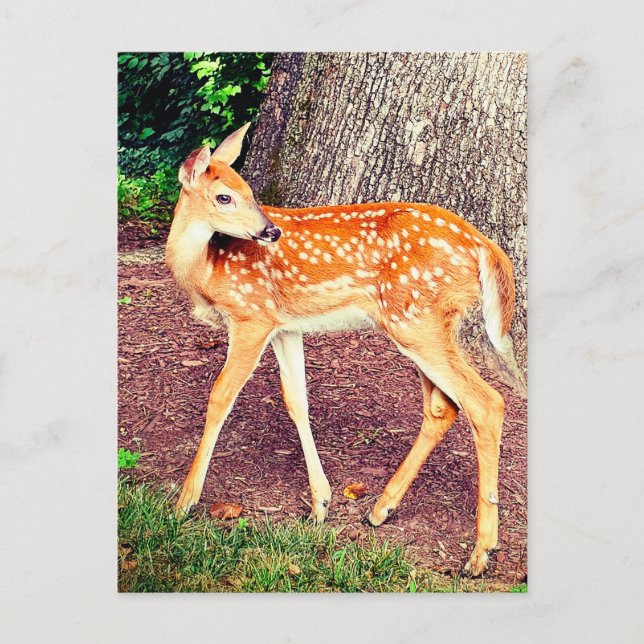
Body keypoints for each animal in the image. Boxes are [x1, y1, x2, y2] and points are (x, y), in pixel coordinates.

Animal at [165, 123, 516, 576]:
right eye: (225, 196)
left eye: (250, 192)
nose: (271, 231)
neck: (205, 269)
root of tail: (484, 246)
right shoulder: (284, 327)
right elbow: (296, 400)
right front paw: (321, 503)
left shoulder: (251, 316)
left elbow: (220, 398)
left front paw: (184, 502)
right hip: (424, 323)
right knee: (443, 407)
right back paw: (381, 510)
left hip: (415, 320)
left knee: (486, 402)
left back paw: (479, 553)